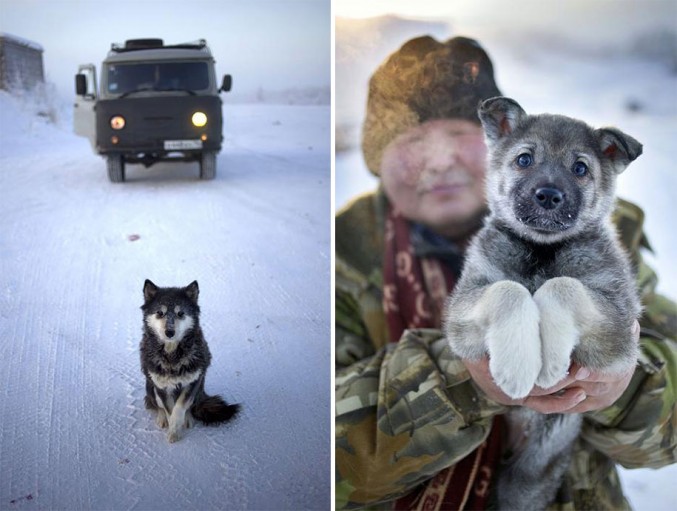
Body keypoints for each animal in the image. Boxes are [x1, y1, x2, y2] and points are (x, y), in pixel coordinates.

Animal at [446, 98, 640, 510]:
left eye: (580, 168)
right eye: (524, 159)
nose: (549, 195)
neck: (541, 250)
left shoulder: (619, 328)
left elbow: (563, 286)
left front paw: (550, 361)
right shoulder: (462, 311)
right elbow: (507, 290)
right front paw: (517, 367)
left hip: (528, 482)